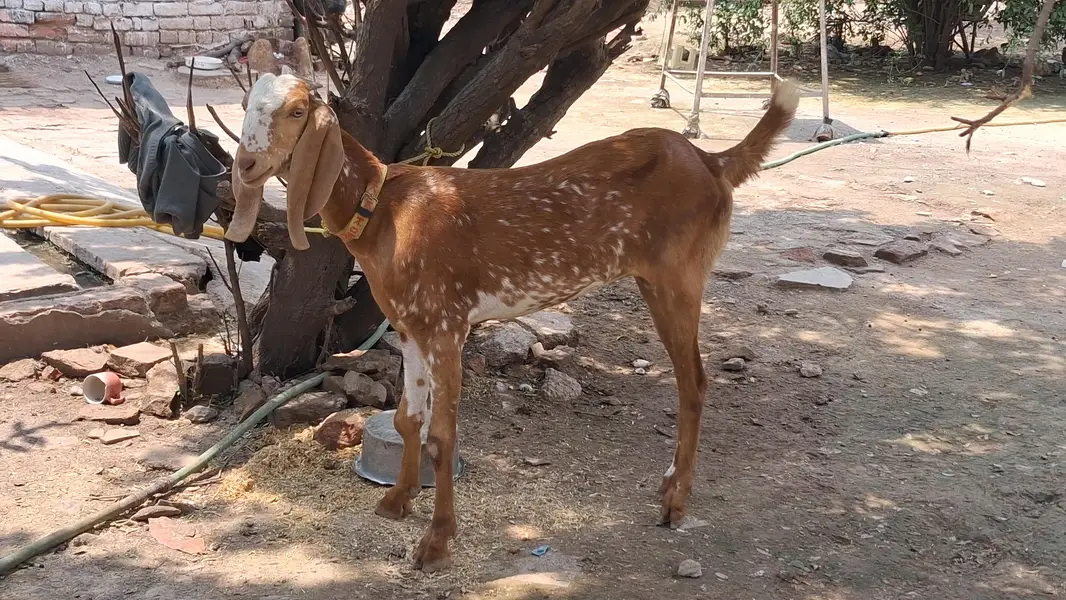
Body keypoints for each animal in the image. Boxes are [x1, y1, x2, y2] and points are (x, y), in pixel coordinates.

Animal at [227, 73, 800, 572]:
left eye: (296, 111)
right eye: (247, 104)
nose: (248, 164)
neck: (386, 208)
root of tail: (711, 161)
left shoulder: (447, 324)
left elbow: (442, 437)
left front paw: (436, 544)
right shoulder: (409, 327)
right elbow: (408, 419)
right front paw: (397, 501)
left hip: (677, 278)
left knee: (694, 383)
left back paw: (676, 500)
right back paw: (668, 485)